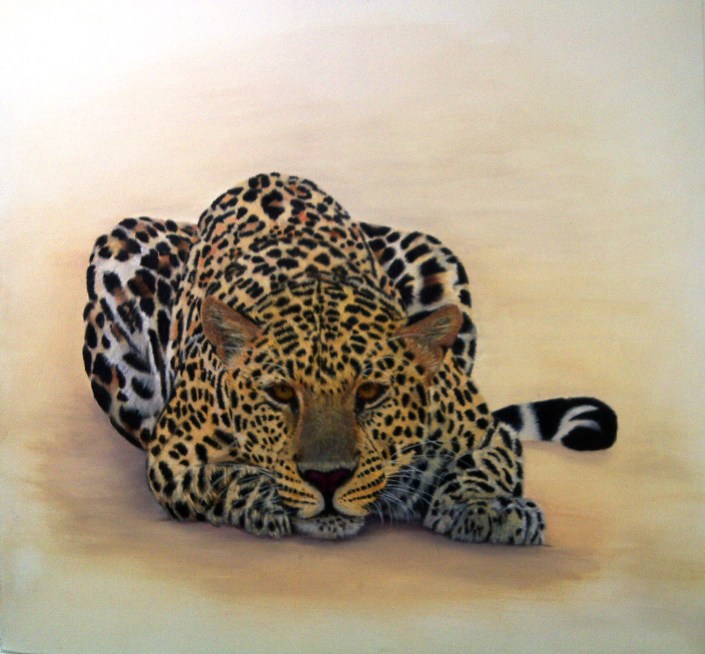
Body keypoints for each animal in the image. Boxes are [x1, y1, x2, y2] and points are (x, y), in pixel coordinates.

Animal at [83, 172, 617, 544]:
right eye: (281, 393)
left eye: (371, 393)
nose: (327, 479)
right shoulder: (172, 456)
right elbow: (224, 478)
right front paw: (267, 500)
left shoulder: (487, 434)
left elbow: (480, 467)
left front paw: (488, 510)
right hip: (123, 262)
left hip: (435, 255)